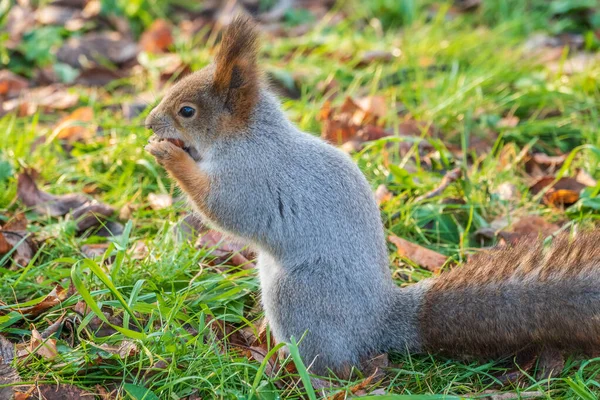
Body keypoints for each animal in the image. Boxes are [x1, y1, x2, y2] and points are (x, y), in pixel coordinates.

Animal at [145, 16, 600, 378]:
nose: (149, 122)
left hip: (299, 294)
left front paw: (169, 155)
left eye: (187, 111)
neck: (249, 137)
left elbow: (221, 208)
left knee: (330, 362)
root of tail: (381, 321)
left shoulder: (251, 178)